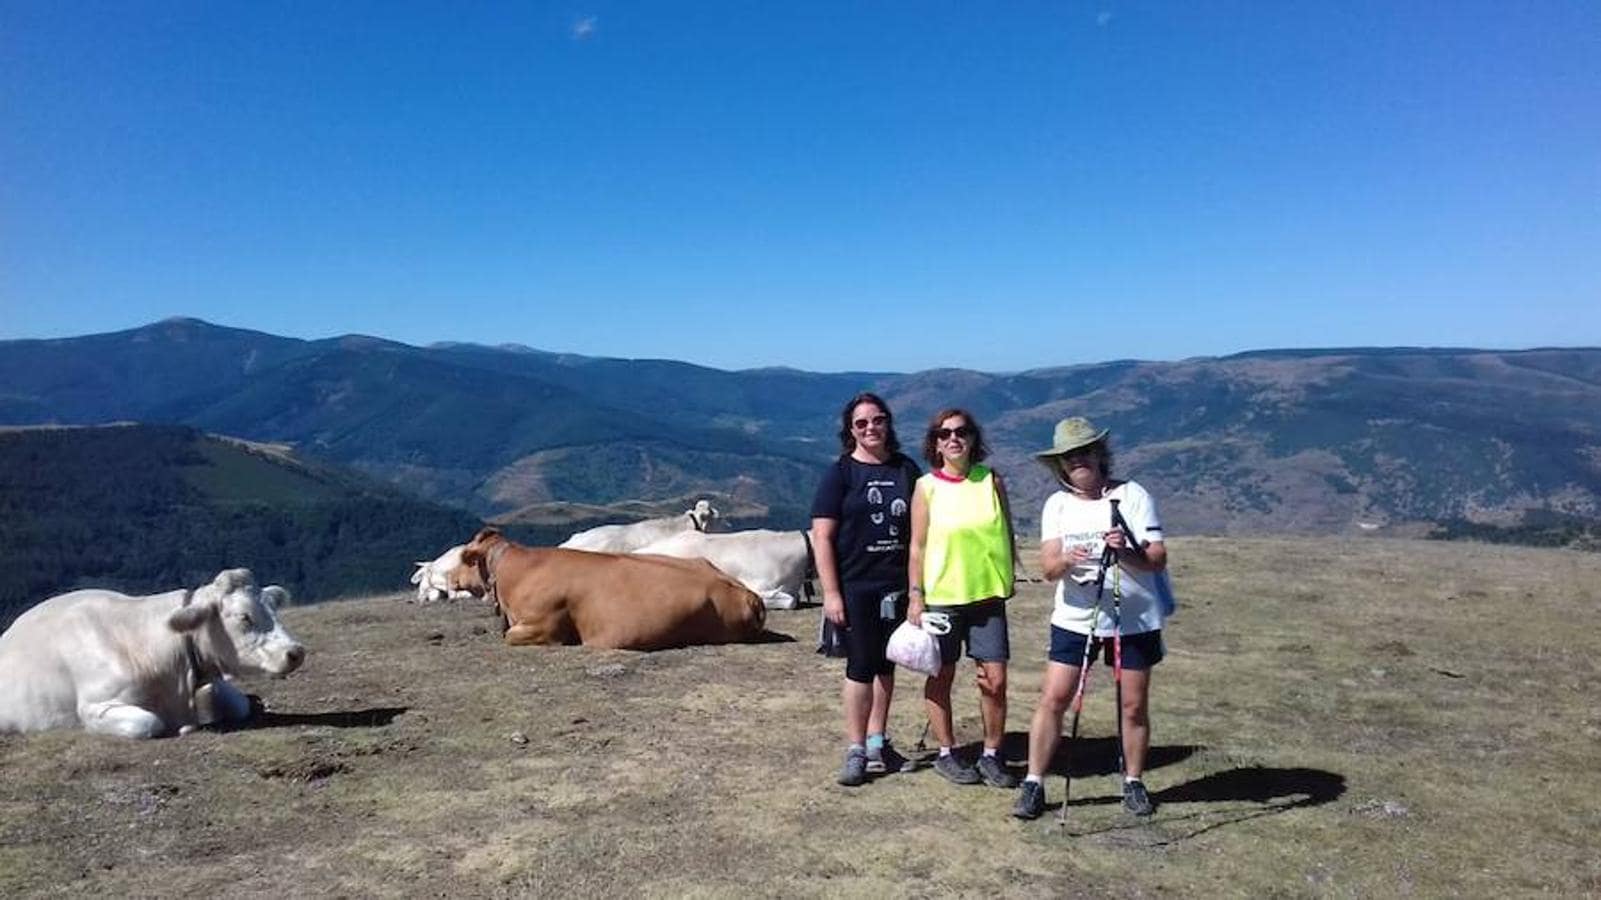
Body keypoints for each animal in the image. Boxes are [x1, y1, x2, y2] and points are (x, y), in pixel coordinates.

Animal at [0, 566, 305, 736]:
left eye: (274, 608)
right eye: (244, 617)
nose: (296, 651)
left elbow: (237, 703)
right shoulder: (95, 705)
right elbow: (149, 724)